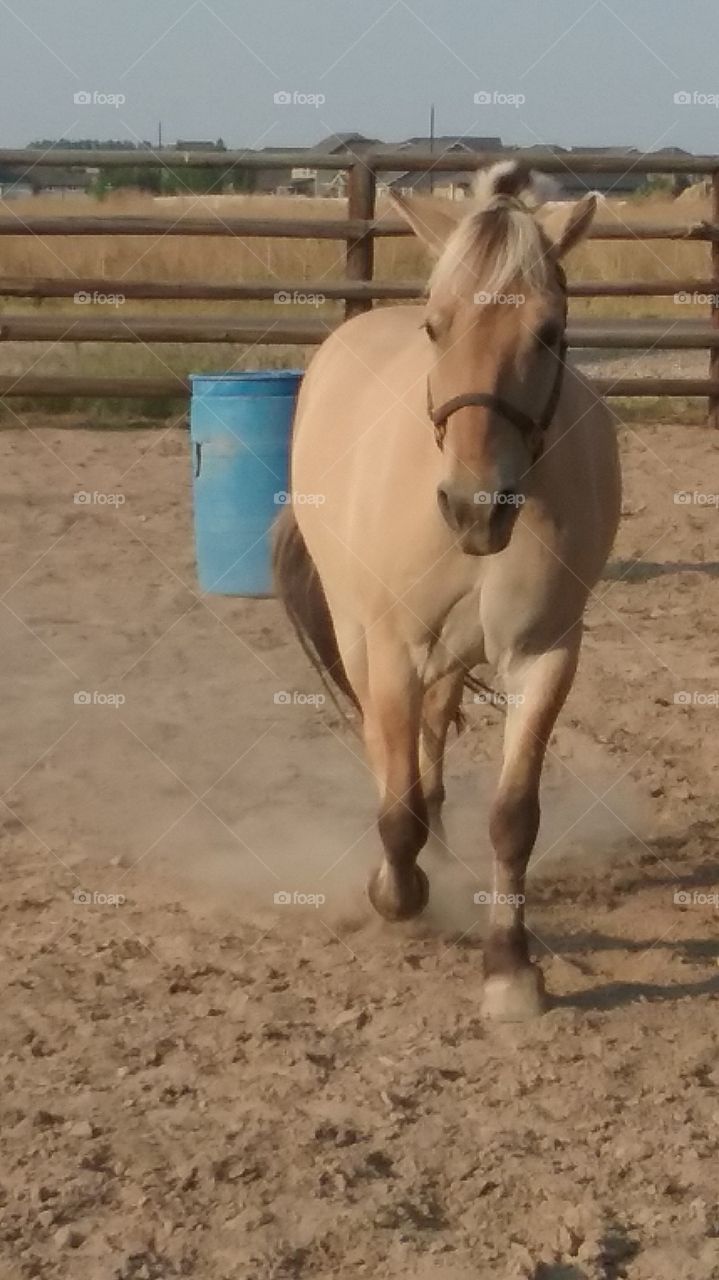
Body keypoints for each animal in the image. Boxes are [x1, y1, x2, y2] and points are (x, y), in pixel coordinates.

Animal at [274, 160, 621, 1020]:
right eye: (437, 328)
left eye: (548, 333)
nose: (473, 506)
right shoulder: (394, 646)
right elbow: (392, 807)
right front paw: (394, 893)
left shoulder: (544, 656)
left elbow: (513, 817)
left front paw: (508, 968)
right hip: (359, 631)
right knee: (383, 743)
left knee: (430, 727)